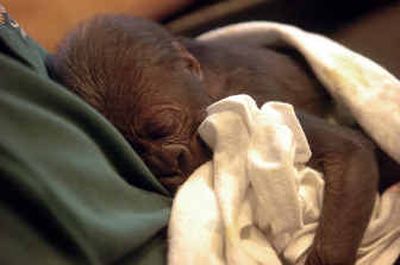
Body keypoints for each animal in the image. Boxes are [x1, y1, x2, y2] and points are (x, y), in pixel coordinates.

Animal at [50, 14, 382, 264]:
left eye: (162, 128)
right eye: (138, 152)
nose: (169, 163)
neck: (209, 80)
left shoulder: (254, 98)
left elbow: (348, 151)